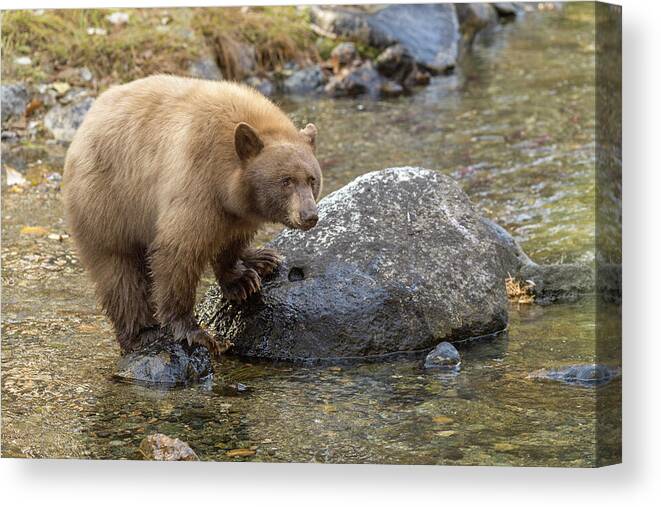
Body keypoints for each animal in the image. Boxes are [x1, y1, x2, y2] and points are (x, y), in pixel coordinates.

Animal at [63, 75, 320, 360]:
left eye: (312, 179)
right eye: (286, 181)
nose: (309, 215)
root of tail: (85, 125)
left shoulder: (236, 210)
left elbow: (231, 239)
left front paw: (241, 280)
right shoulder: (196, 181)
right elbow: (179, 251)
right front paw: (198, 333)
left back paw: (263, 258)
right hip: (107, 201)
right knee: (119, 271)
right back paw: (142, 334)